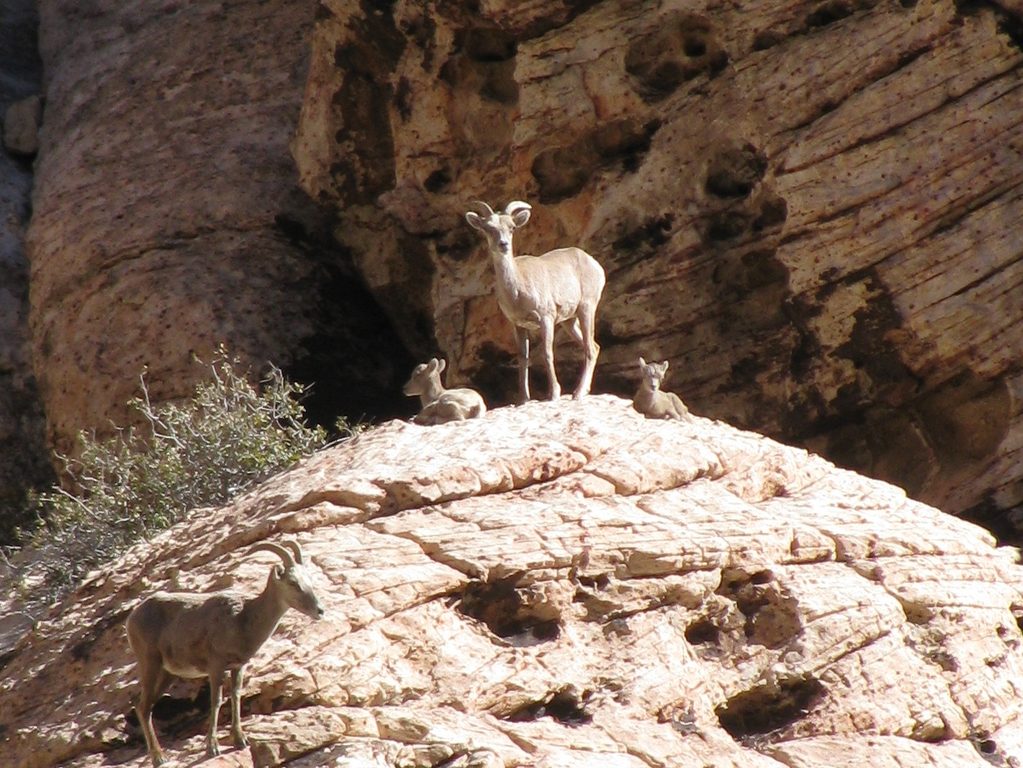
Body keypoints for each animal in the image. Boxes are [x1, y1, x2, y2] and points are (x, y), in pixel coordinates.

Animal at [125, 539, 323, 768]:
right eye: (292, 582)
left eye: (309, 579)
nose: (320, 611)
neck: (243, 619)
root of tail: (133, 616)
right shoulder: (216, 667)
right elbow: (216, 701)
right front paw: (212, 748)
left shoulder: (238, 667)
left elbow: (235, 696)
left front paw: (240, 740)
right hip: (150, 664)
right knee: (143, 706)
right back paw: (159, 758)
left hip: (168, 674)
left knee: (145, 706)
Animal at [466, 201, 601, 404]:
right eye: (488, 228)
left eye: (512, 227)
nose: (503, 244)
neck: (517, 291)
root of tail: (594, 264)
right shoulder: (519, 326)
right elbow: (523, 358)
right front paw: (523, 399)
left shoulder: (546, 319)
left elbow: (547, 353)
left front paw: (554, 394)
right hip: (570, 321)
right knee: (593, 346)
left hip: (586, 309)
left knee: (590, 349)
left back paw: (577, 393)